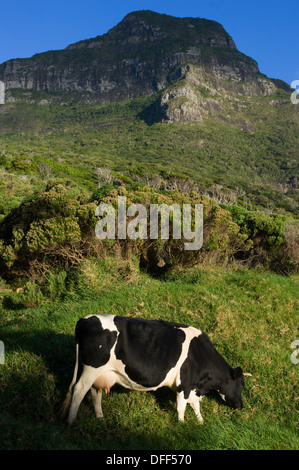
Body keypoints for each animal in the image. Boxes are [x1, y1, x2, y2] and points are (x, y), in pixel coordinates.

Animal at [62, 314, 245, 424]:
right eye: (242, 385)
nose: (241, 406)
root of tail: (85, 319)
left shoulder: (193, 387)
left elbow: (195, 405)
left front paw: (200, 422)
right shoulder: (184, 384)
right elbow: (182, 407)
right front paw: (182, 424)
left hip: (100, 373)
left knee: (95, 392)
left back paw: (100, 417)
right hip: (91, 368)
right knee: (78, 389)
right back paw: (71, 421)